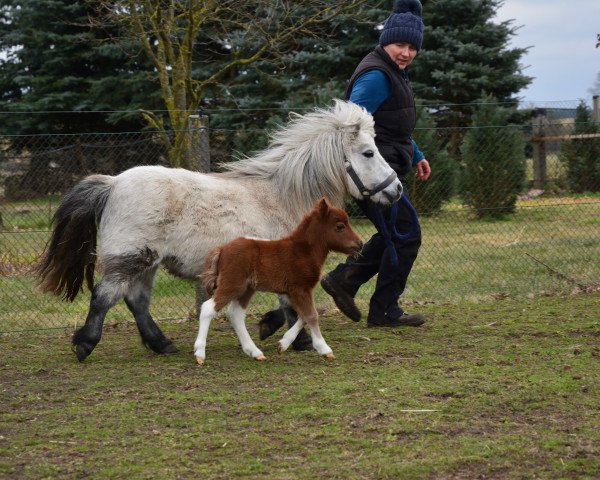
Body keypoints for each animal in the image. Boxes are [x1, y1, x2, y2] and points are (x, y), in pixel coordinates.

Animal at [193, 197, 360, 362]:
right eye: (340, 226)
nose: (359, 244)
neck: (303, 251)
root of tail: (222, 249)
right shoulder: (300, 289)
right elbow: (311, 315)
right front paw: (325, 349)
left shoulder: (295, 292)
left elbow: (303, 315)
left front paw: (283, 344)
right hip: (233, 284)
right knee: (208, 308)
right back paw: (200, 353)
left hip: (247, 289)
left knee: (236, 314)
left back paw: (254, 352)